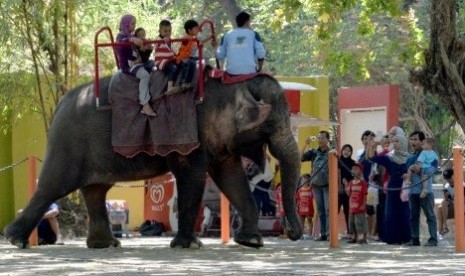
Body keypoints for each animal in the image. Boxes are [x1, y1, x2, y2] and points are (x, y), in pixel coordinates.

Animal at [5, 72, 302, 249]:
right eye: (273, 122)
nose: (294, 234)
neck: (232, 81)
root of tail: (58, 104)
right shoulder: (188, 131)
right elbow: (192, 176)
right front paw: (188, 245)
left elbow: (231, 177)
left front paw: (251, 242)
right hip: (67, 144)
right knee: (53, 186)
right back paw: (14, 239)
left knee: (95, 190)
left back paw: (105, 244)